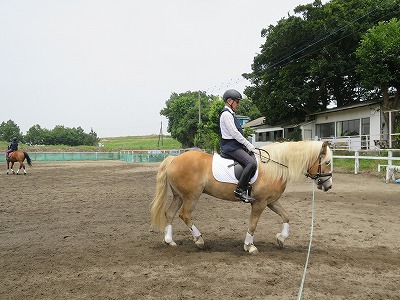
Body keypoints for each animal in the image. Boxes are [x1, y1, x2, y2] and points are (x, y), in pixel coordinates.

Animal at [148, 140, 332, 253]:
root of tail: (173, 159)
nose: (328, 186)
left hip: (179, 195)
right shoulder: (259, 203)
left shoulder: (271, 201)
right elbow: (253, 224)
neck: (274, 166)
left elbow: (286, 216)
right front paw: (250, 246)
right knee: (184, 215)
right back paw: (199, 240)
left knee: (169, 214)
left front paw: (281, 239)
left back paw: (170, 241)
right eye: (328, 162)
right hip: (192, 196)